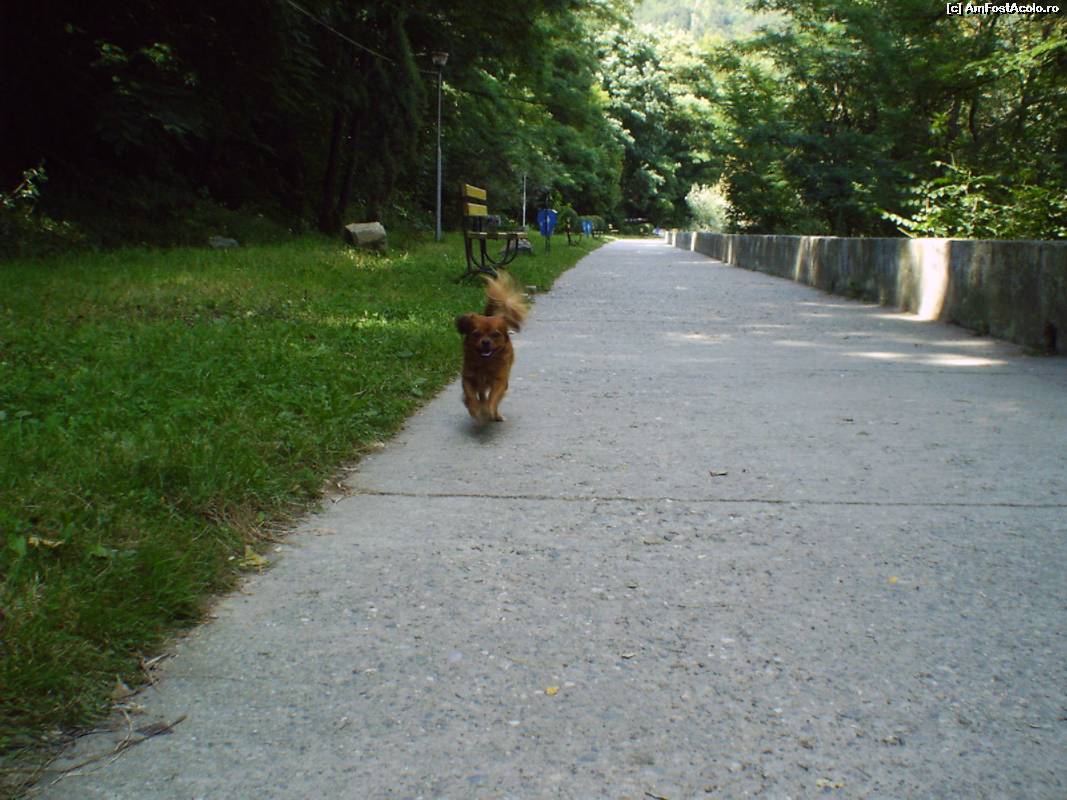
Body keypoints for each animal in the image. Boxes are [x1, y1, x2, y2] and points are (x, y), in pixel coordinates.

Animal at [455, 273, 528, 422]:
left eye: (495, 334)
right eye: (476, 334)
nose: (485, 342)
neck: (485, 363)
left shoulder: (500, 381)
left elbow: (493, 398)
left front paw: (489, 410)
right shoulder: (468, 378)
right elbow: (471, 396)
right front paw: (474, 409)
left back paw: (494, 414)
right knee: (482, 393)